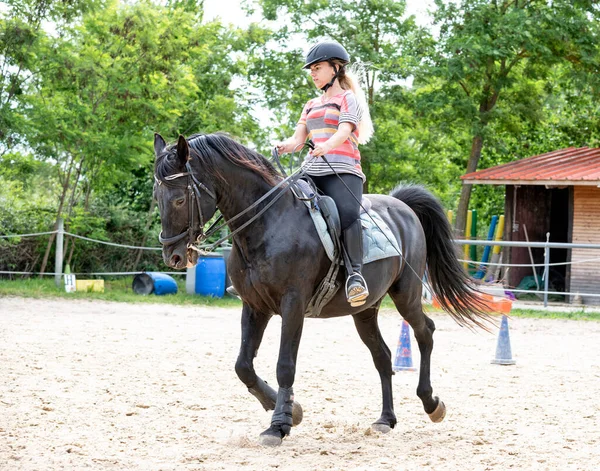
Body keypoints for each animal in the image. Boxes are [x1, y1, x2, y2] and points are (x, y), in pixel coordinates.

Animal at [152, 132, 490, 446]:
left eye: (180, 199)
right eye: (157, 196)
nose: (174, 256)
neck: (269, 223)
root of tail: (402, 206)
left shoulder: (293, 305)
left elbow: (284, 365)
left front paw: (279, 425)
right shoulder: (255, 307)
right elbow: (243, 366)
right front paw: (293, 410)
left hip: (405, 294)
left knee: (425, 332)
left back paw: (432, 403)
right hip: (365, 311)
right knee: (382, 356)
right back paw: (386, 419)